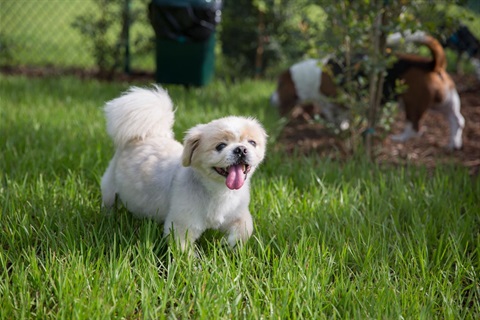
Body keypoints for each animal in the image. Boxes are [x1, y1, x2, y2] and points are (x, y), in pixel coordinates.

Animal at [100, 86, 268, 251]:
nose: (241, 149)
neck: (219, 192)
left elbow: (244, 230)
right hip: (110, 191)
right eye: (220, 146)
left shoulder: (238, 214)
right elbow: (184, 251)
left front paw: (229, 245)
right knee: (109, 203)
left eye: (252, 143)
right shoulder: (182, 226)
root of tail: (144, 136)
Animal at [270, 31, 464, 149]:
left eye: (279, 86)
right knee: (457, 120)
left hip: (412, 103)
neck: (312, 75)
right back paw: (453, 143)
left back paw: (399, 138)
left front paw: (341, 127)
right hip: (443, 102)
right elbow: (333, 116)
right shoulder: (327, 104)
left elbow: (339, 117)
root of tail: (432, 64)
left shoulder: (338, 102)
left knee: (415, 127)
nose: (271, 99)